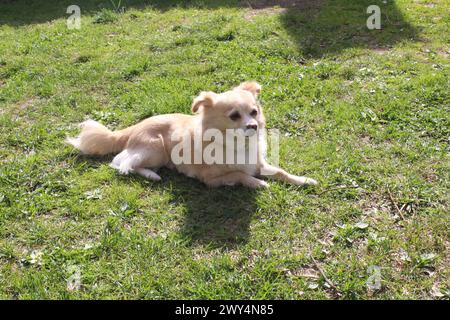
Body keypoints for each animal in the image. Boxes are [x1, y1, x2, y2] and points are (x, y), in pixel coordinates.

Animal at [67, 81, 318, 189]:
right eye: (234, 116)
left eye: (254, 112)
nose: (254, 126)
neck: (236, 145)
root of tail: (135, 126)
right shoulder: (211, 179)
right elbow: (239, 174)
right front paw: (258, 183)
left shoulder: (258, 162)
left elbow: (280, 172)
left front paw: (303, 180)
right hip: (156, 149)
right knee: (121, 162)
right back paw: (151, 175)